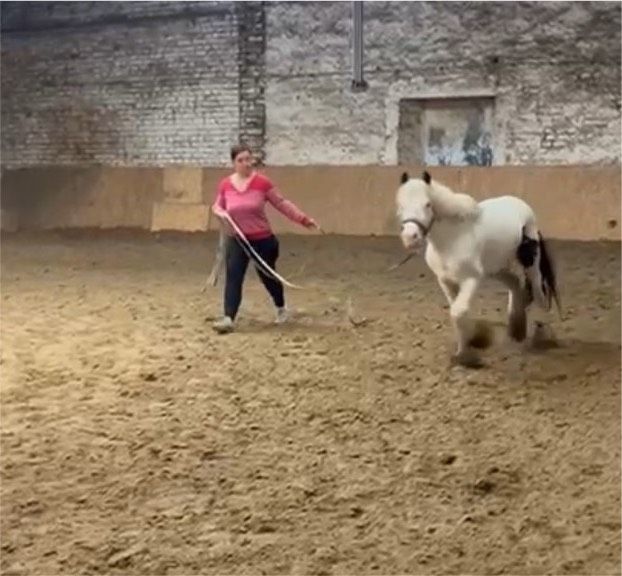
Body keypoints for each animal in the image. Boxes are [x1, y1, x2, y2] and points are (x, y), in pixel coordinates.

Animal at [398, 171, 564, 368]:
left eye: (428, 204)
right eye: (400, 205)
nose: (410, 237)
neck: (452, 238)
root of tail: (522, 205)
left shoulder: (472, 279)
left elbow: (458, 312)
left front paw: (470, 352)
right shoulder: (445, 281)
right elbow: (457, 312)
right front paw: (464, 349)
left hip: (531, 264)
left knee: (539, 295)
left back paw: (540, 336)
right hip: (496, 269)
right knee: (515, 284)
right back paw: (516, 329)